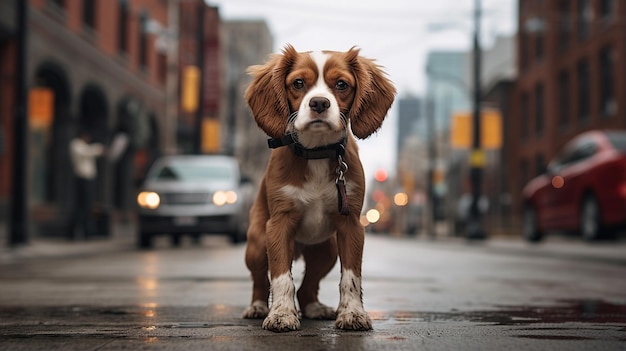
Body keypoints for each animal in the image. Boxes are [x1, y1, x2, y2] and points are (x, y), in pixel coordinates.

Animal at [240, 44, 392, 332]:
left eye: (341, 84)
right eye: (298, 83)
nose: (319, 103)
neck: (317, 151)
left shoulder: (351, 225)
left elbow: (351, 276)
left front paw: (352, 314)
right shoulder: (279, 224)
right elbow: (280, 277)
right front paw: (281, 315)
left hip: (326, 251)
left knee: (307, 286)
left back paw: (314, 308)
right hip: (257, 243)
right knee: (259, 279)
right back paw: (257, 306)